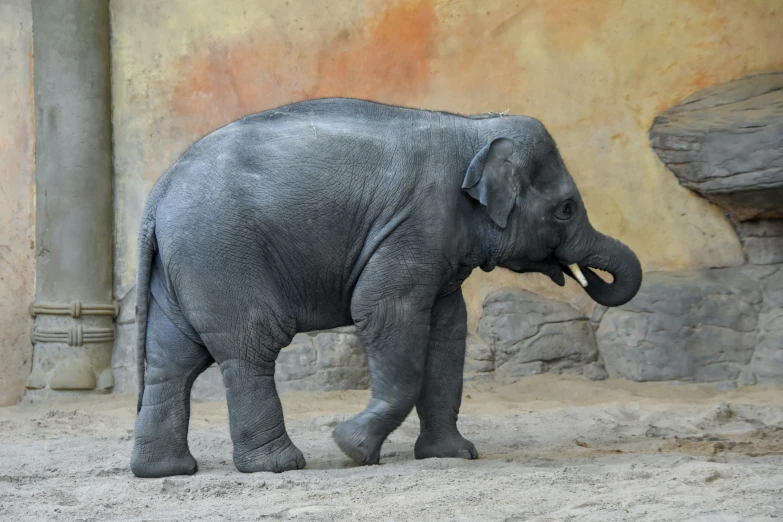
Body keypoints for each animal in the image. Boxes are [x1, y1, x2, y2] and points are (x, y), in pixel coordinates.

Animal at [130, 96, 644, 476]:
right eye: (566, 209)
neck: (473, 127)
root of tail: (158, 193)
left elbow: (447, 332)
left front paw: (454, 455)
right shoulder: (414, 226)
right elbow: (382, 310)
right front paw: (351, 448)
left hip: (185, 265)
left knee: (171, 358)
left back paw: (166, 471)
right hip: (221, 253)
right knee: (250, 345)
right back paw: (280, 466)